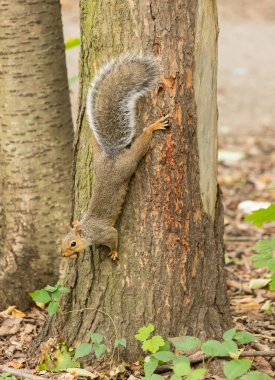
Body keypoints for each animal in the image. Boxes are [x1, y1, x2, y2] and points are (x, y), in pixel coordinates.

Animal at [61, 52, 169, 262]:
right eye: (62, 241)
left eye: (73, 243)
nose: (63, 254)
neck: (88, 230)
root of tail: (111, 156)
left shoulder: (105, 233)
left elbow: (114, 237)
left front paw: (114, 252)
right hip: (98, 161)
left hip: (128, 163)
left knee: (141, 144)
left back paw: (152, 127)